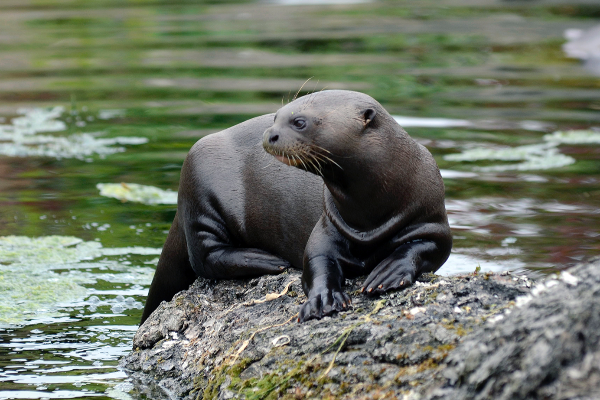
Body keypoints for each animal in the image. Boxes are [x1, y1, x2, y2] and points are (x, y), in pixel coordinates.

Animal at [141, 89, 450, 324]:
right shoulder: (326, 227)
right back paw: (265, 260)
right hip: (199, 184)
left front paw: (390, 271)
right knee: (205, 257)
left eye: (299, 122)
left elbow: (426, 248)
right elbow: (315, 262)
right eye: (276, 117)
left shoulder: (432, 221)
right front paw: (323, 298)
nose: (269, 134)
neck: (370, 214)